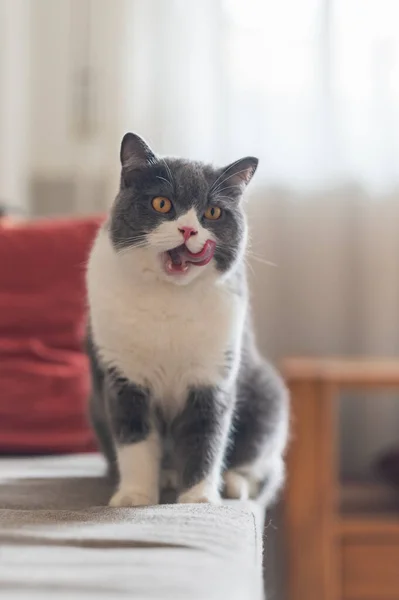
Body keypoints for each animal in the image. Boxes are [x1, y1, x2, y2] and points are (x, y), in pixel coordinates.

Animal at [86, 132, 290, 506]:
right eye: (161, 204)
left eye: (212, 212)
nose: (187, 230)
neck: (170, 298)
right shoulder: (123, 375)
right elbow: (134, 438)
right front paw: (135, 496)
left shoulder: (213, 374)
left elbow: (205, 436)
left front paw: (198, 499)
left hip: (268, 396)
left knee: (265, 469)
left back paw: (234, 484)